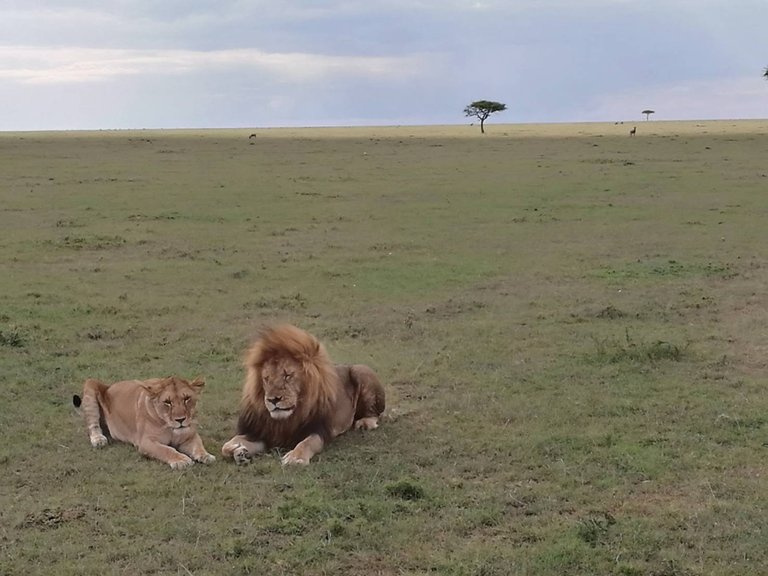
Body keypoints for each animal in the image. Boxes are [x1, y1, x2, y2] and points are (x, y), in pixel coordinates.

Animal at [73, 378, 216, 468]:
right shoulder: (146, 442)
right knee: (92, 425)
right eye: (167, 402)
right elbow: (166, 450)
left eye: (187, 398)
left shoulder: (189, 436)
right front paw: (181, 460)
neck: (169, 427)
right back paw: (98, 439)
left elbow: (198, 445)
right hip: (90, 384)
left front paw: (206, 456)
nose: (180, 420)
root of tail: (110, 386)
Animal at [222, 326, 384, 466]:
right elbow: (225, 446)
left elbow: (306, 443)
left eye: (287, 375)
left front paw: (295, 458)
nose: (273, 400)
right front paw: (239, 451)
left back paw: (365, 423)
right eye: (266, 378)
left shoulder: (318, 430)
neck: (287, 420)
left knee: (375, 413)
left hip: (361, 371)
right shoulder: (261, 433)